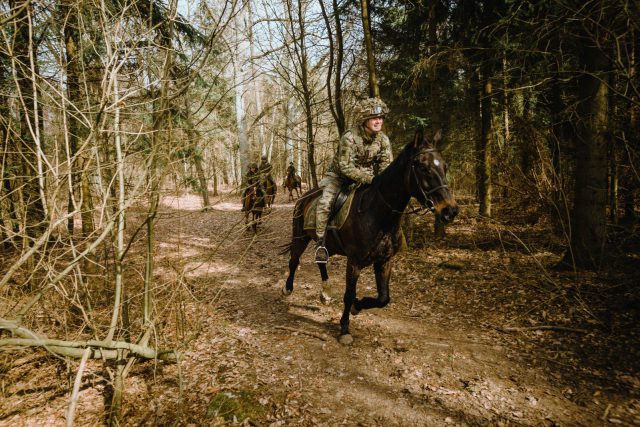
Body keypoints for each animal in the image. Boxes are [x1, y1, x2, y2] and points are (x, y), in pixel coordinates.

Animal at [280, 129, 456, 346]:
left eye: (445, 166)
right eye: (422, 166)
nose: (450, 210)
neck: (378, 214)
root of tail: (304, 197)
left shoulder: (384, 261)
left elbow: (383, 298)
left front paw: (358, 306)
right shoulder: (354, 262)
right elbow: (349, 294)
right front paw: (345, 329)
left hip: (325, 244)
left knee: (320, 261)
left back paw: (325, 293)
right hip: (300, 236)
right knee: (294, 260)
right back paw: (287, 289)